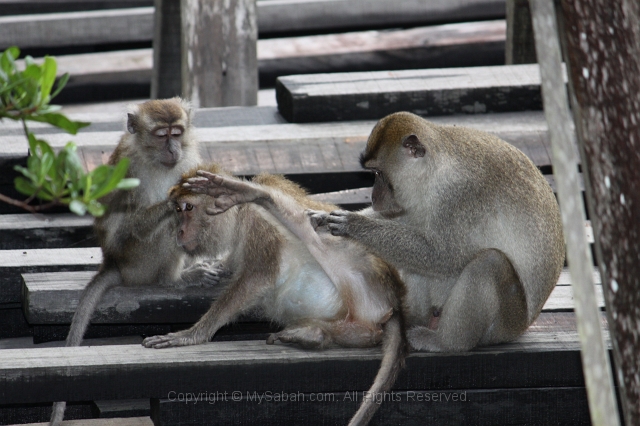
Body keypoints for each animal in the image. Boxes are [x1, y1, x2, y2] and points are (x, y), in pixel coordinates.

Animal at [50, 97, 220, 426]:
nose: (173, 149)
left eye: (177, 133)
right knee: (171, 224)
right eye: (161, 135)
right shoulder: (131, 168)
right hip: (138, 261)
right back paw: (175, 278)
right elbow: (135, 224)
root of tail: (113, 263)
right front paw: (175, 198)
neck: (153, 159)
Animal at [143, 166, 408, 426]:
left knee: (312, 233)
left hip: (359, 276)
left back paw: (254, 193)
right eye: (177, 210)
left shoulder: (258, 223)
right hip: (355, 328)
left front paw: (192, 335)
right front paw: (205, 271)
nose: (179, 231)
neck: (238, 219)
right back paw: (313, 335)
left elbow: (257, 275)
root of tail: (394, 303)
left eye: (188, 208)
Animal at [312, 110, 564, 352]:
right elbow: (410, 227)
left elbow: (443, 254)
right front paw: (323, 218)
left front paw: (353, 225)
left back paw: (446, 342)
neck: (435, 171)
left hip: (505, 325)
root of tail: (525, 324)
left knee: (490, 263)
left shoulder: (459, 194)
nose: (374, 197)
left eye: (379, 173)